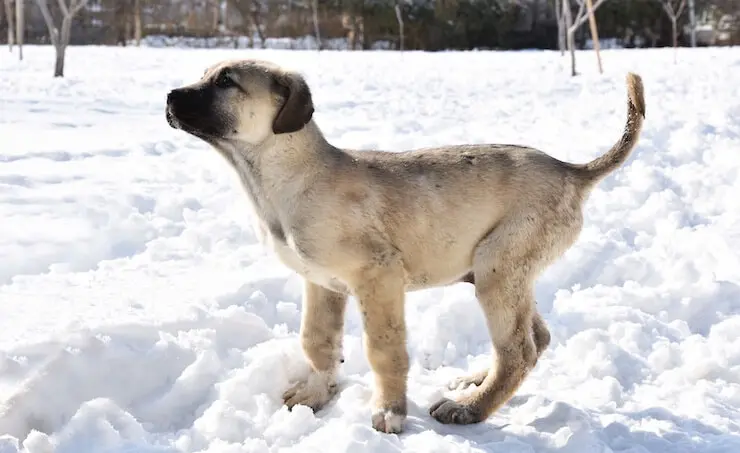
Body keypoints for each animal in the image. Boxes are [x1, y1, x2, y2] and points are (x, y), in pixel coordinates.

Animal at [165, 58, 644, 432]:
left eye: (226, 81)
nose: (169, 96)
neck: (283, 177)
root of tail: (572, 171)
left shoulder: (379, 276)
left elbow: (384, 351)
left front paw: (390, 413)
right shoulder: (321, 283)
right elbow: (317, 342)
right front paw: (316, 395)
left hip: (498, 267)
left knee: (518, 350)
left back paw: (470, 409)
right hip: (501, 274)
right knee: (535, 339)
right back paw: (476, 383)